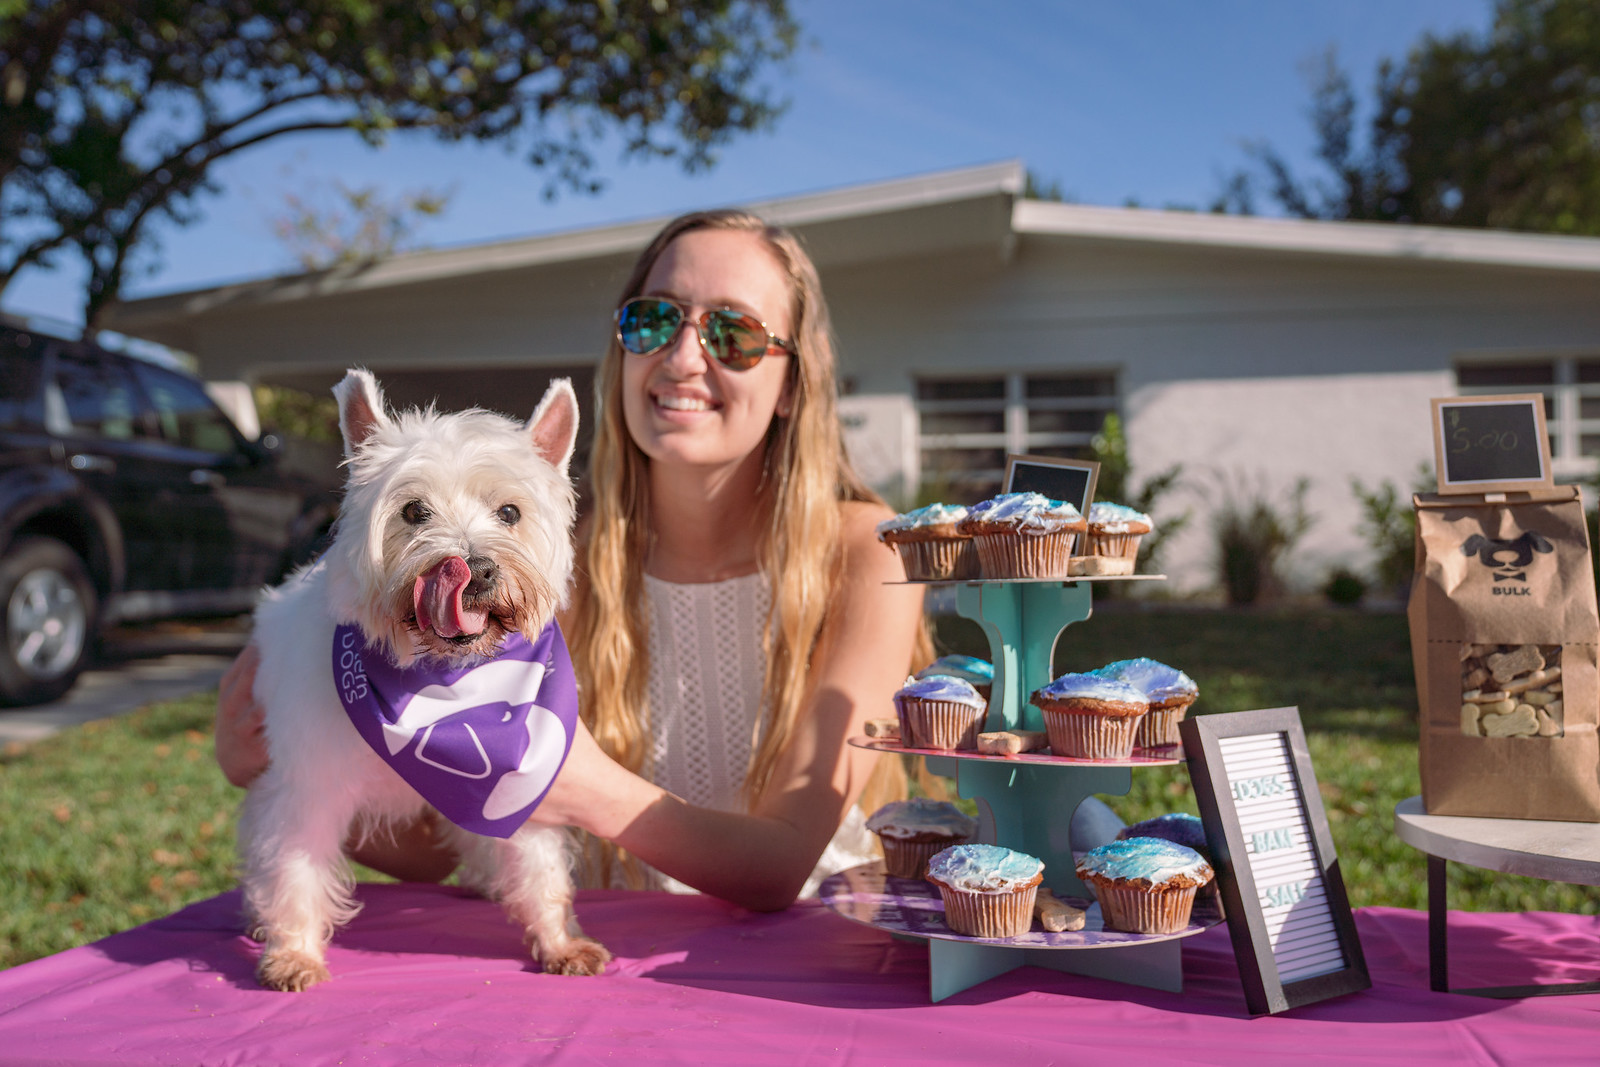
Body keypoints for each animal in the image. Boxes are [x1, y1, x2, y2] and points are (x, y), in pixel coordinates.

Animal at [233, 369, 608, 991]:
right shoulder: (307, 784)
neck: (439, 683)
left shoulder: (522, 781)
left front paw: (559, 941)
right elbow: (295, 868)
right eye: (413, 512)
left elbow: (540, 867)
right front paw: (295, 952)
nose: (473, 569)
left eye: (510, 512)